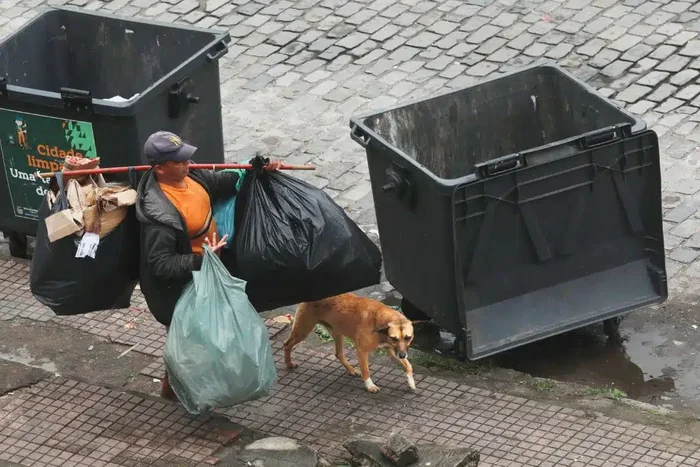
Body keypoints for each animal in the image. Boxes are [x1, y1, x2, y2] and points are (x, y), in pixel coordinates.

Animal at [284, 294, 416, 394]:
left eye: (408, 337)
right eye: (394, 338)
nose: (403, 355)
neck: (378, 319)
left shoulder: (393, 350)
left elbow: (409, 365)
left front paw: (411, 382)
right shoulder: (362, 350)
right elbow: (366, 370)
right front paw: (369, 385)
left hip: (338, 333)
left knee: (339, 354)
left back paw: (351, 370)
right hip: (303, 331)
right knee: (287, 344)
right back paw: (289, 363)